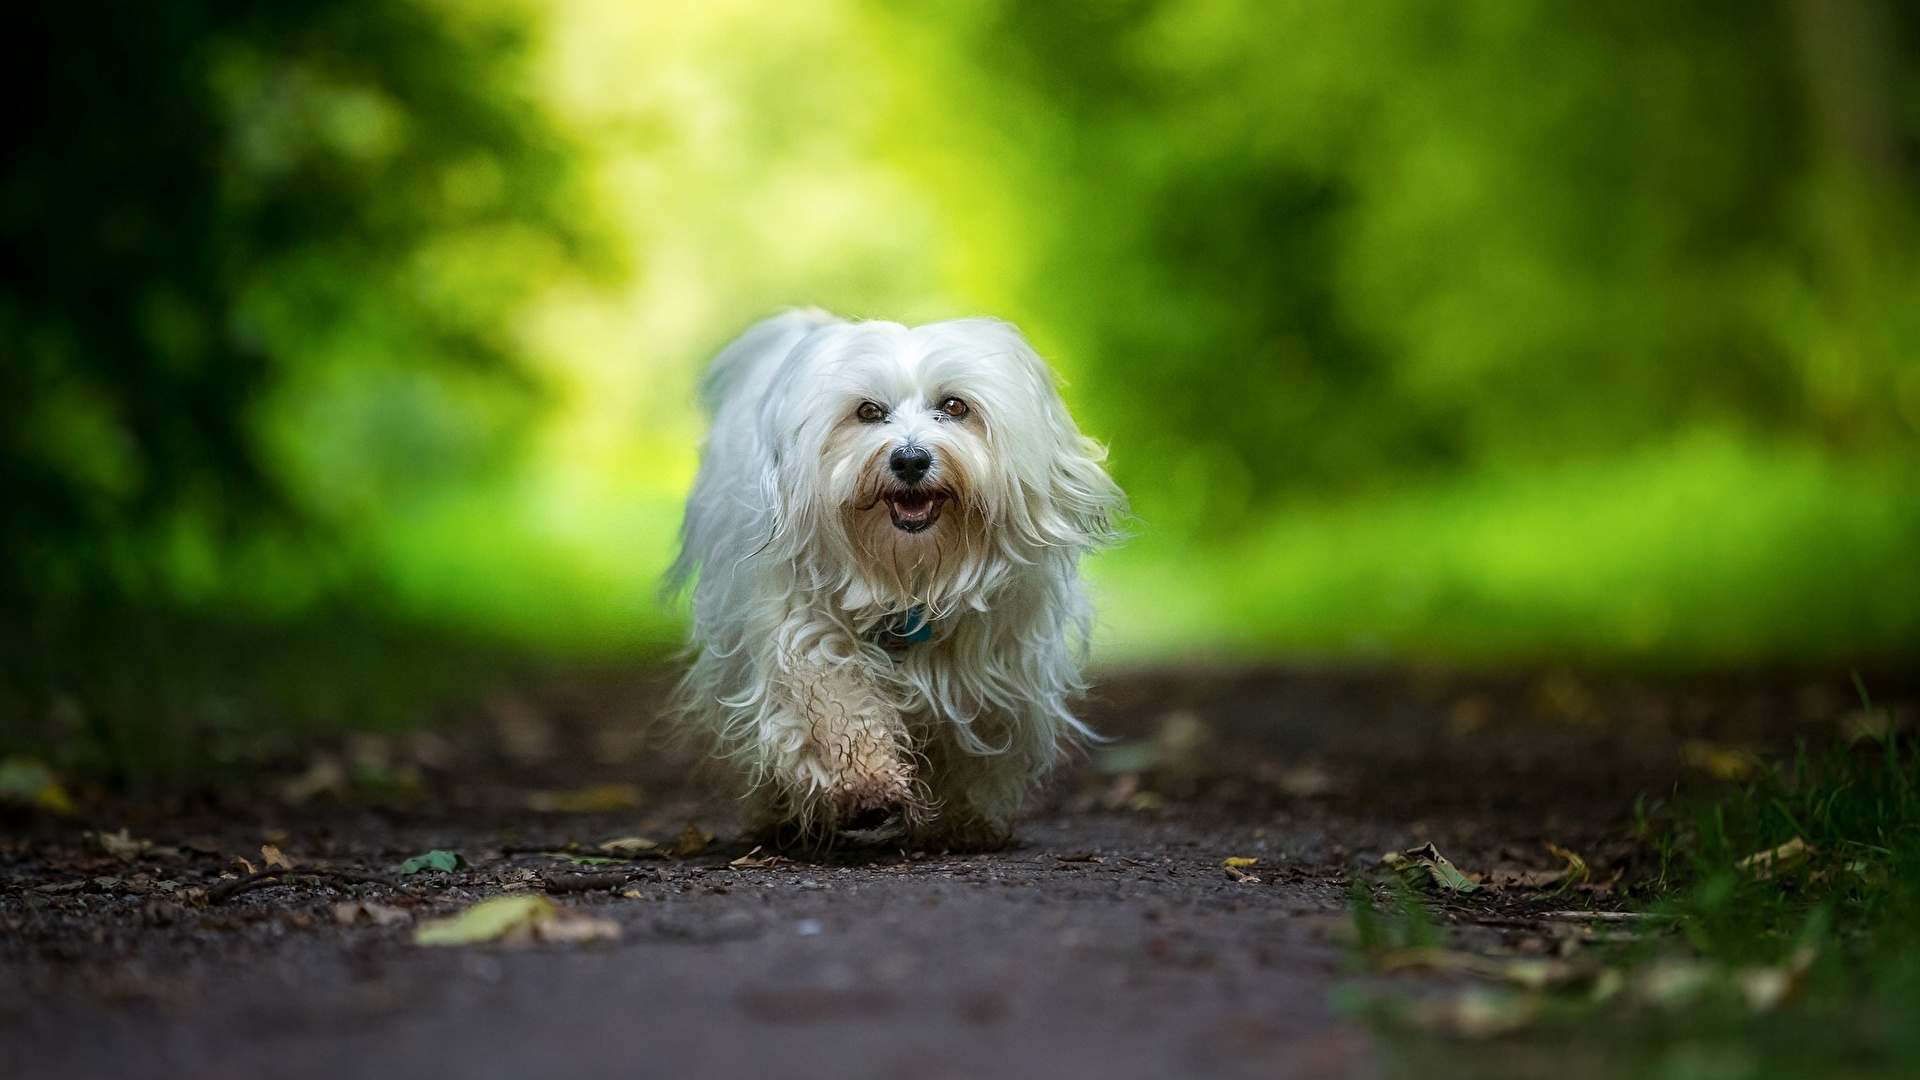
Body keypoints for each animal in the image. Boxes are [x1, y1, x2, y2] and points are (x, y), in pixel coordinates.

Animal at [675, 307, 1121, 845]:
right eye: (868, 411)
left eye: (954, 406)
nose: (910, 459)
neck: (909, 574)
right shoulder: (799, 629)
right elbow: (831, 698)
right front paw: (864, 783)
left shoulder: (996, 660)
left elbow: (975, 735)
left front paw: (964, 819)